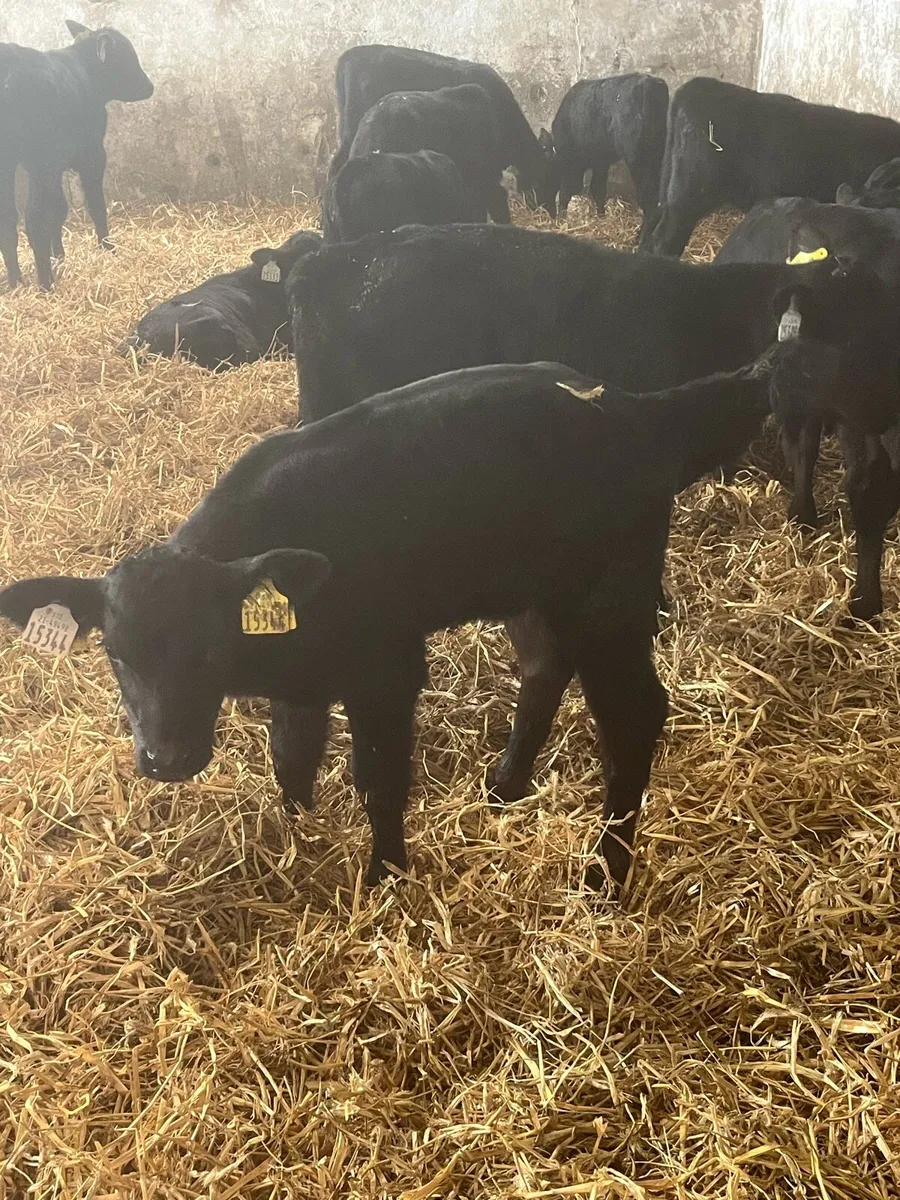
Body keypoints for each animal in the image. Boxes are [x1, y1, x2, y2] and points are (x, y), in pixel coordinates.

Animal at [0, 20, 154, 290]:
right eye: (127, 58)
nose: (149, 86)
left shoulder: (55, 167)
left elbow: (59, 208)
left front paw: (59, 256)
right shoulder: (91, 155)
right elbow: (96, 205)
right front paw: (108, 248)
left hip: (10, 164)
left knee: (7, 220)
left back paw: (16, 281)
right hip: (40, 161)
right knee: (34, 220)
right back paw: (46, 284)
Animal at [0, 352, 815, 889]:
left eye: (208, 649)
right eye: (116, 654)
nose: (165, 759)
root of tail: (636, 408)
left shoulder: (384, 670)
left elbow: (380, 781)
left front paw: (385, 876)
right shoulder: (304, 677)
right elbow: (291, 757)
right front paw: (298, 835)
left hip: (608, 598)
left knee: (633, 716)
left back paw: (604, 871)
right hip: (532, 592)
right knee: (544, 668)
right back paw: (505, 786)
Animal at [548, 73, 668, 240]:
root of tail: (649, 82)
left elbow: (566, 190)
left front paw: (561, 220)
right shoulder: (600, 161)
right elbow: (598, 189)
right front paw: (600, 216)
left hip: (638, 159)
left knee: (649, 200)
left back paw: (640, 238)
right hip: (656, 154)